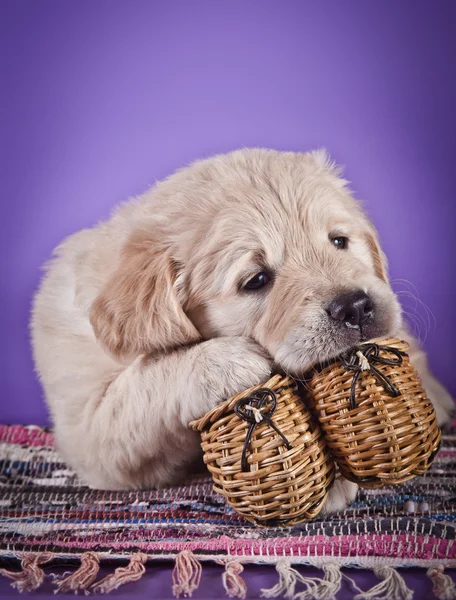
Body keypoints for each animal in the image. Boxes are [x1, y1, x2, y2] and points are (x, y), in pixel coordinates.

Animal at [31, 146, 452, 510]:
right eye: (256, 280)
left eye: (339, 241)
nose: (356, 307)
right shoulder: (89, 430)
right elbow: (141, 384)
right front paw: (227, 360)